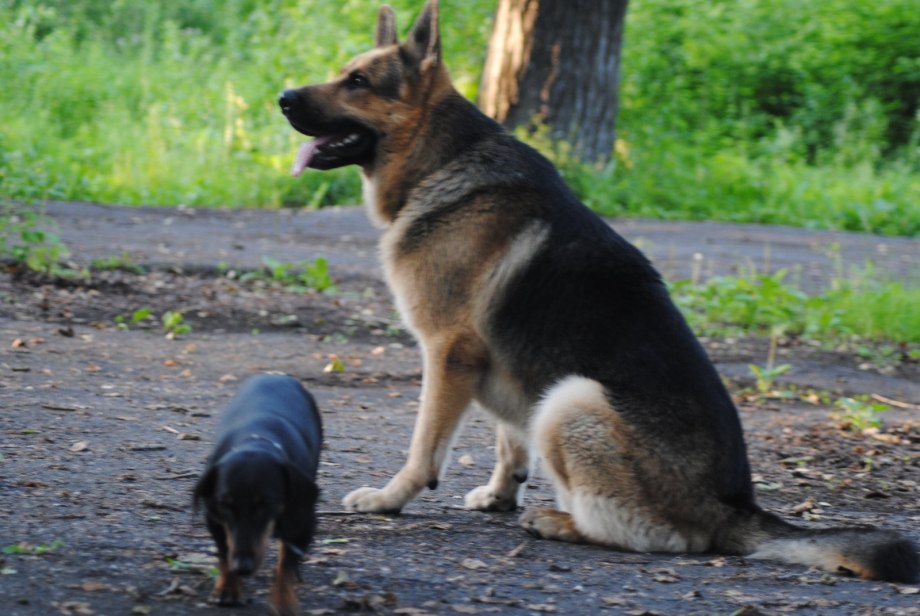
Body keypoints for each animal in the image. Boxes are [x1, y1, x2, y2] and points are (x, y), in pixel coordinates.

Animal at [194, 372, 324, 612]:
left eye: (267, 504)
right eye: (225, 505)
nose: (242, 567)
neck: (256, 442)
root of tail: (275, 374)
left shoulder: (303, 521)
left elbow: (287, 563)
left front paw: (284, 601)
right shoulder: (215, 519)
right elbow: (224, 552)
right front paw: (228, 589)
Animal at [276, 1, 916, 584]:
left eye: (358, 82)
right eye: (344, 72)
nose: (282, 97)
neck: (440, 159)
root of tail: (735, 509)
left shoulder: (448, 355)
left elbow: (424, 448)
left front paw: (390, 499)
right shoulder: (500, 366)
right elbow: (510, 443)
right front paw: (499, 494)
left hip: (572, 399)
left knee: (661, 538)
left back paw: (561, 522)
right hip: (554, 398)